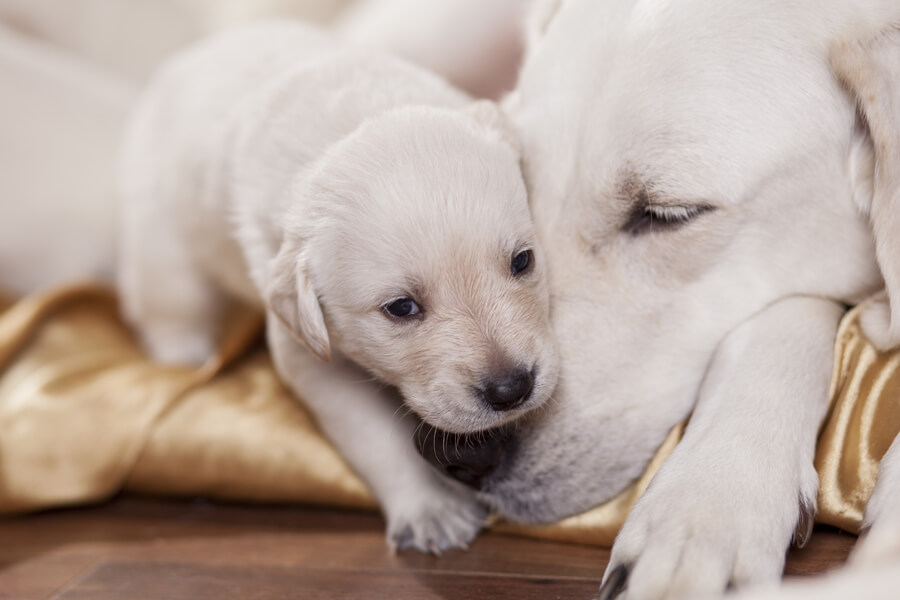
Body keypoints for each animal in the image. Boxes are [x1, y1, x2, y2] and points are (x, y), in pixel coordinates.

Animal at [116, 21, 560, 556]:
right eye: (401, 307)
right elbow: (374, 435)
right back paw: (184, 355)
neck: (349, 119)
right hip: (163, 238)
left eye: (523, 260)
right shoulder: (307, 351)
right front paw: (429, 508)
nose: (511, 390)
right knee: (168, 305)